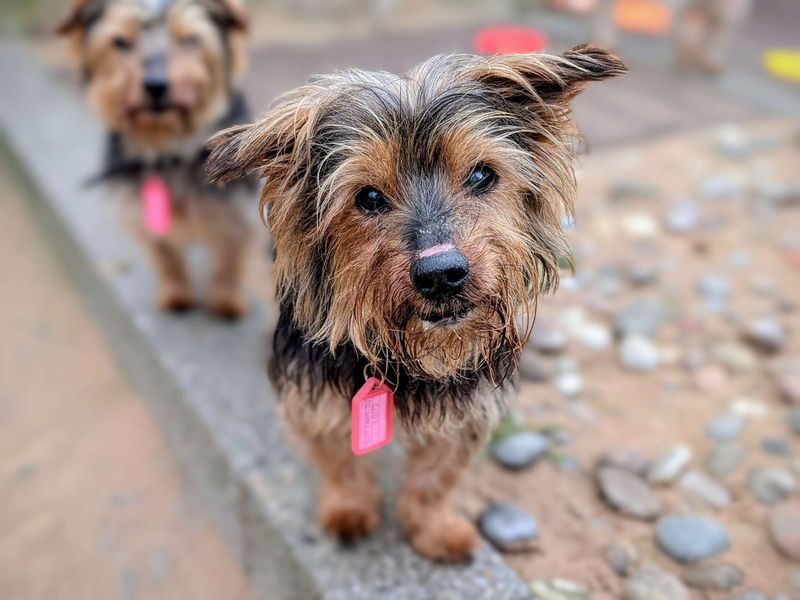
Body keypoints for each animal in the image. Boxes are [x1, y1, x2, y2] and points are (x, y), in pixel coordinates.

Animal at [59, 0, 253, 318]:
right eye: (120, 42)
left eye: (189, 40)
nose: (156, 85)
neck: (166, 145)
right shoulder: (140, 212)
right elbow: (166, 256)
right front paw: (176, 293)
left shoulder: (234, 208)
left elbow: (228, 255)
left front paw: (226, 301)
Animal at [205, 44, 624, 560]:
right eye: (368, 197)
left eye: (482, 175)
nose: (441, 274)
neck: (410, 355)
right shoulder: (314, 397)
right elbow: (339, 461)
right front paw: (349, 511)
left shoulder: (468, 410)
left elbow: (435, 477)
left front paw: (433, 529)